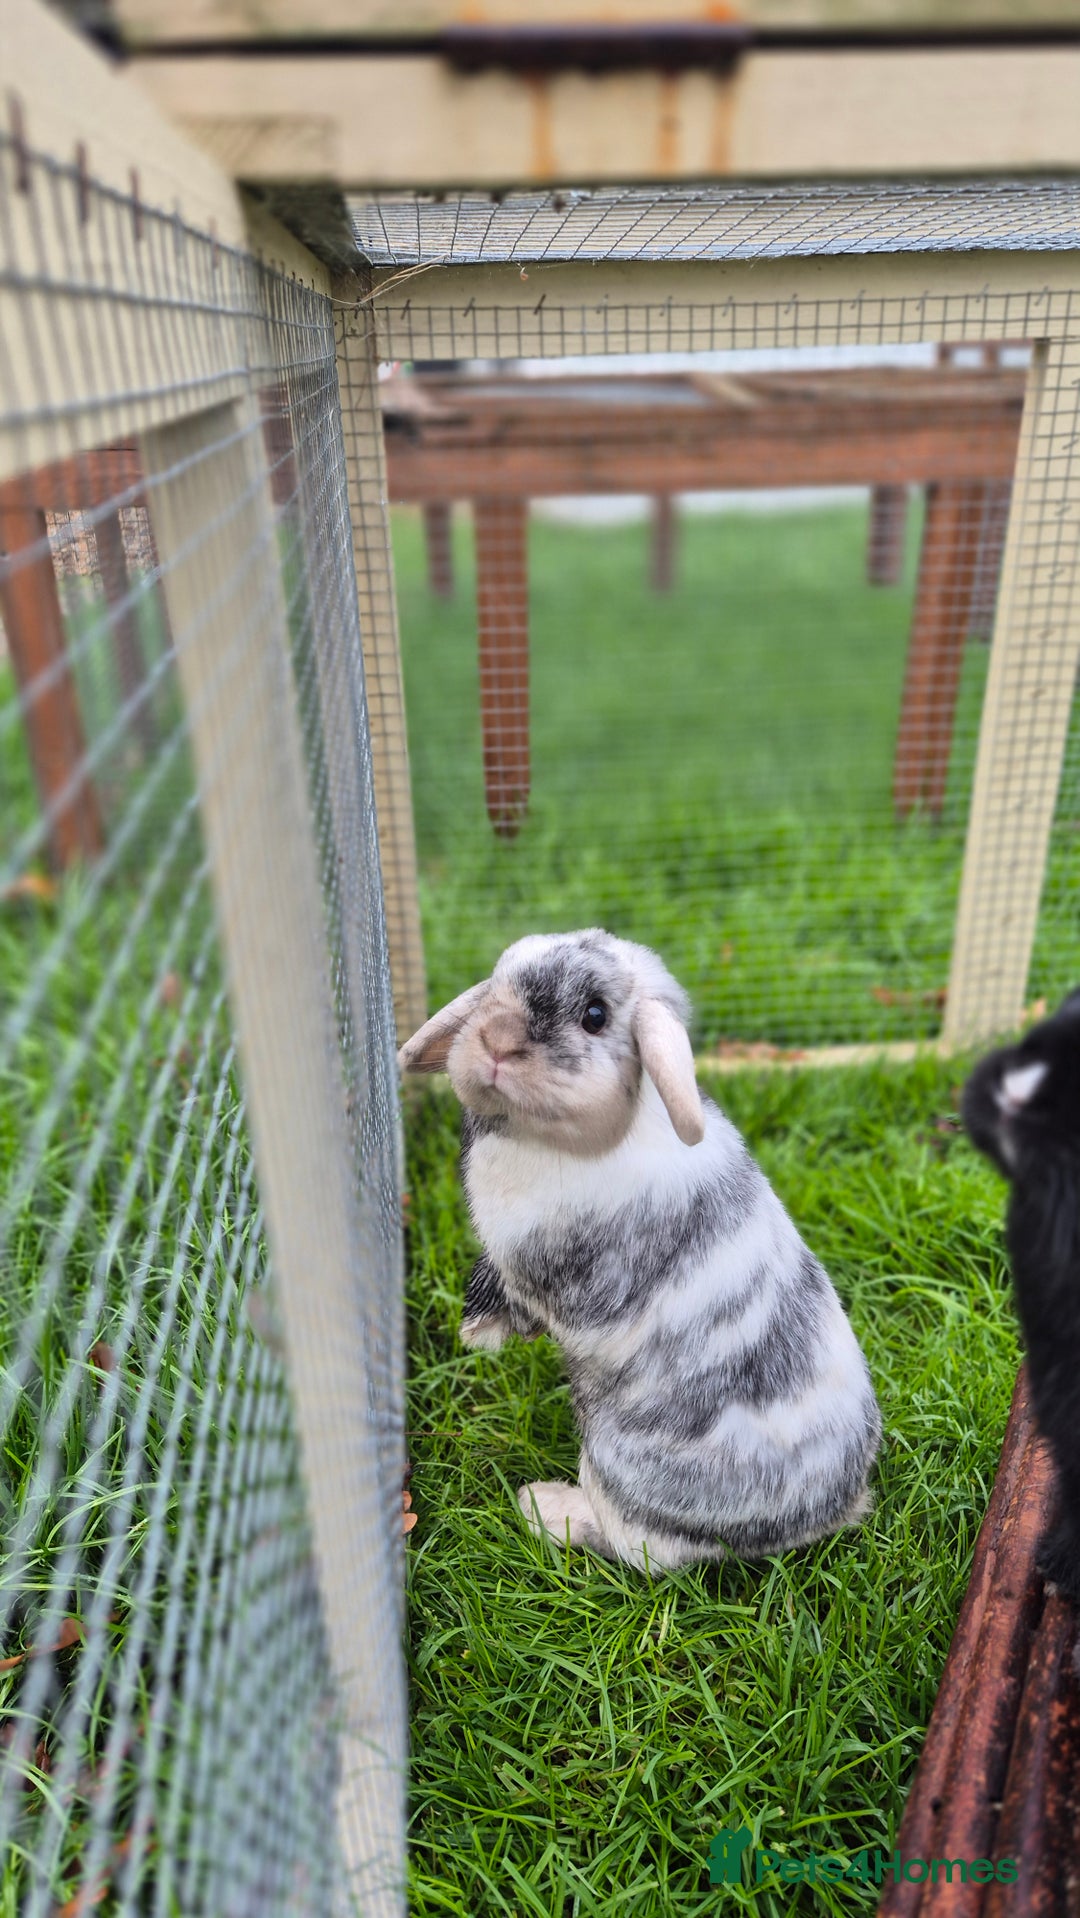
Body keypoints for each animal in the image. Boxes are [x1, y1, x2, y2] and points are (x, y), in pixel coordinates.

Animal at [399, 929, 881, 1571]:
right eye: (498, 980)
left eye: (595, 1015)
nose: (498, 1040)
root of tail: (832, 1511)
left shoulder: (550, 1279)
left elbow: (519, 1297)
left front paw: (483, 1332)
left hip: (614, 1467)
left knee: (638, 1551)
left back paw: (543, 1507)